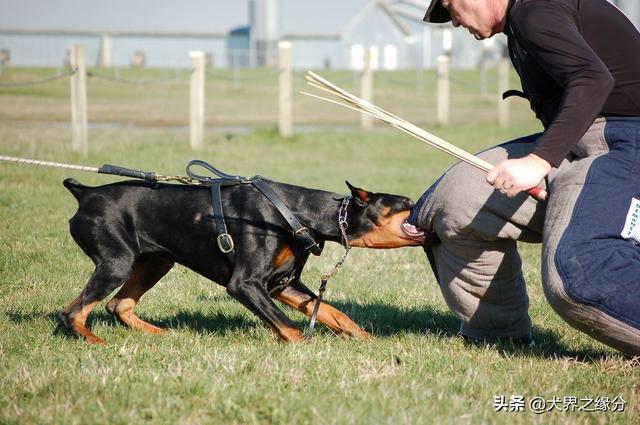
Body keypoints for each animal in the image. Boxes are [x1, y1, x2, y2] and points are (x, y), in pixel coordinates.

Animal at [57, 174, 422, 342]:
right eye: (405, 201)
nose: (422, 205)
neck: (297, 212)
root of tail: (85, 193)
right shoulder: (245, 284)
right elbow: (289, 327)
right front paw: (309, 349)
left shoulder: (282, 284)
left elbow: (335, 313)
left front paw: (369, 341)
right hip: (117, 262)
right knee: (71, 312)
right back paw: (94, 341)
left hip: (157, 261)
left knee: (118, 305)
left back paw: (164, 334)